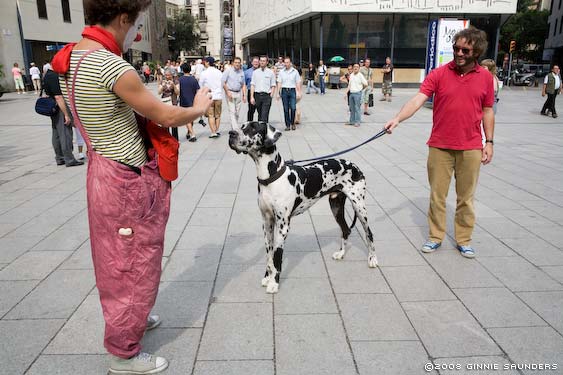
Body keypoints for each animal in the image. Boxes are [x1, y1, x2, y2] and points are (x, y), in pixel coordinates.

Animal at [229, 122, 378, 294]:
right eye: (242, 126)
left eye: (253, 128)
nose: (231, 133)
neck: (270, 178)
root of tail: (354, 165)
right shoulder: (266, 223)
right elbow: (269, 254)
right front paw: (267, 277)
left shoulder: (283, 225)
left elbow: (277, 256)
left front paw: (274, 283)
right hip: (336, 206)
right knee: (346, 229)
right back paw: (341, 253)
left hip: (359, 207)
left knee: (369, 233)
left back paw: (373, 259)